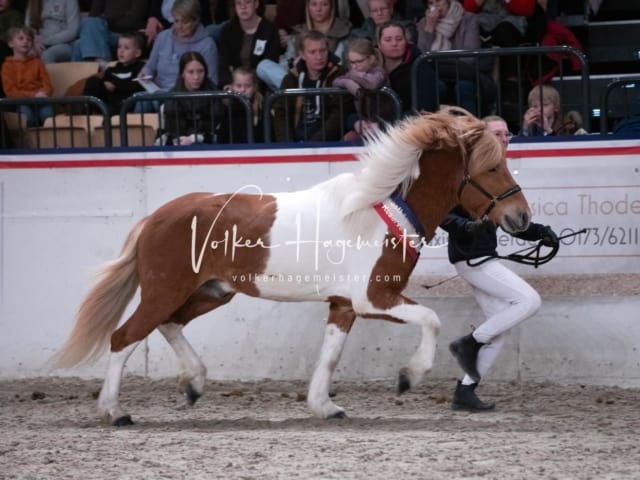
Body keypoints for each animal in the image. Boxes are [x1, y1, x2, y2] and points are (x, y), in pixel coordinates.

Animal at [52, 108, 528, 424]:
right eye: (491, 167)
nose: (520, 218)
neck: (379, 212)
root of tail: (154, 218)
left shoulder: (345, 305)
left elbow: (330, 357)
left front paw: (325, 406)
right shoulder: (374, 298)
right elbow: (430, 319)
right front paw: (409, 377)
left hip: (211, 292)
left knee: (169, 325)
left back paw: (194, 383)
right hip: (165, 290)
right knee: (124, 338)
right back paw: (115, 410)